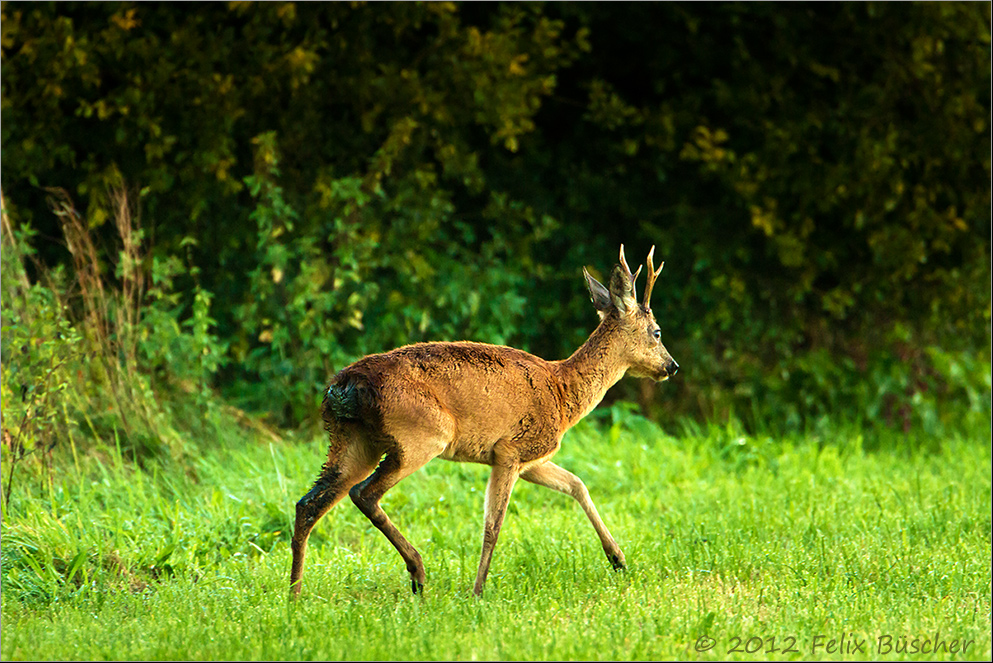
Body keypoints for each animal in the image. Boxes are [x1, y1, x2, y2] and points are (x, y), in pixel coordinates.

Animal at [286, 246, 676, 600]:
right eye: (657, 332)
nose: (671, 367)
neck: (564, 392)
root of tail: (344, 385)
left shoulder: (533, 460)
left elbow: (577, 485)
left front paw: (618, 559)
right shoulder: (510, 449)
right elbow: (493, 525)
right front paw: (477, 591)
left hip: (352, 439)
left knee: (308, 504)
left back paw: (294, 594)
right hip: (421, 435)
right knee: (363, 493)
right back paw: (418, 573)